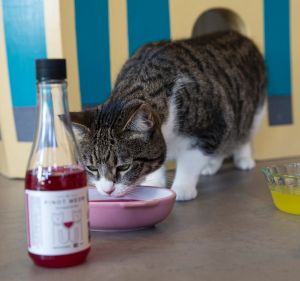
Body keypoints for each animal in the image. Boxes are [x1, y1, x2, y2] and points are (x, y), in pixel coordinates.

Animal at [69, 31, 266, 199]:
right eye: (92, 168)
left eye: (124, 166)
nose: (107, 191)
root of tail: (239, 35)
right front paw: (154, 182)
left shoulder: (210, 127)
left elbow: (190, 161)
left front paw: (182, 189)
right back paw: (211, 165)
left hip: (253, 111)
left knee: (242, 133)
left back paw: (243, 159)